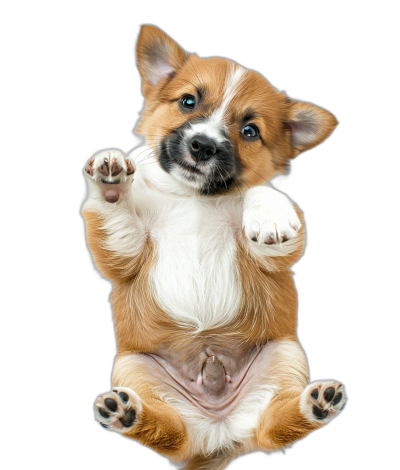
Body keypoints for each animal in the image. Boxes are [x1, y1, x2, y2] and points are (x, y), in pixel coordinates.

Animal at [82, 25, 346, 470]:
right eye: (188, 101)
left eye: (250, 131)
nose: (203, 146)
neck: (195, 198)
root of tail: (218, 434)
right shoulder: (124, 251)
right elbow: (117, 216)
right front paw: (112, 180)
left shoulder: (275, 257)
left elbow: (262, 190)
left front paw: (269, 214)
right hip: (134, 368)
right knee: (172, 432)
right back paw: (127, 413)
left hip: (284, 358)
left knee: (272, 427)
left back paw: (315, 403)